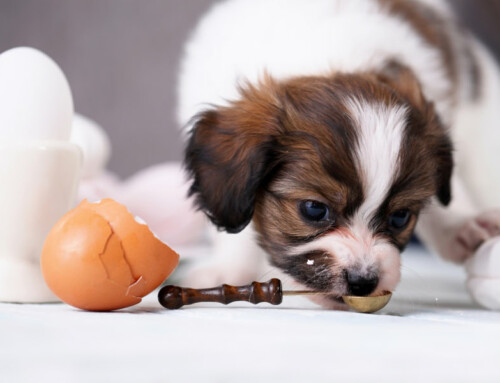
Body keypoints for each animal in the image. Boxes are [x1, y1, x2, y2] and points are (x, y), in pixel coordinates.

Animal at [178, 0, 500, 308]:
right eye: (313, 209)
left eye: (400, 217)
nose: (363, 281)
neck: (329, 60)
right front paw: (229, 268)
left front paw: (459, 225)